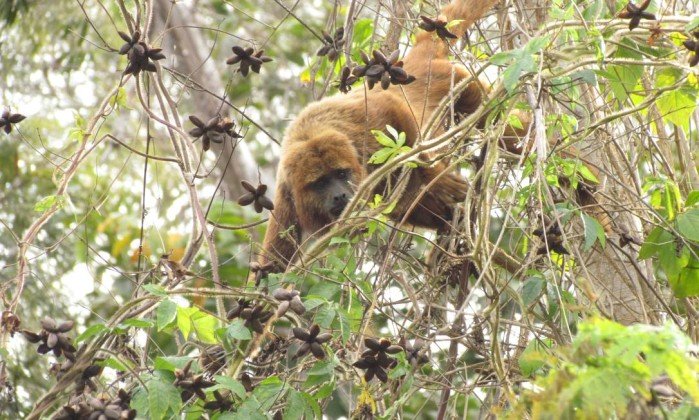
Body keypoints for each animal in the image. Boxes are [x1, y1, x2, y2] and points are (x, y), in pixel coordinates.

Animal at [260, 0, 500, 270]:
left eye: (341, 174)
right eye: (320, 183)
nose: (340, 195)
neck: (309, 136)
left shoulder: (365, 122)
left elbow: (394, 108)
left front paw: (435, 175)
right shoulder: (286, 194)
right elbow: (272, 265)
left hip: (455, 80)